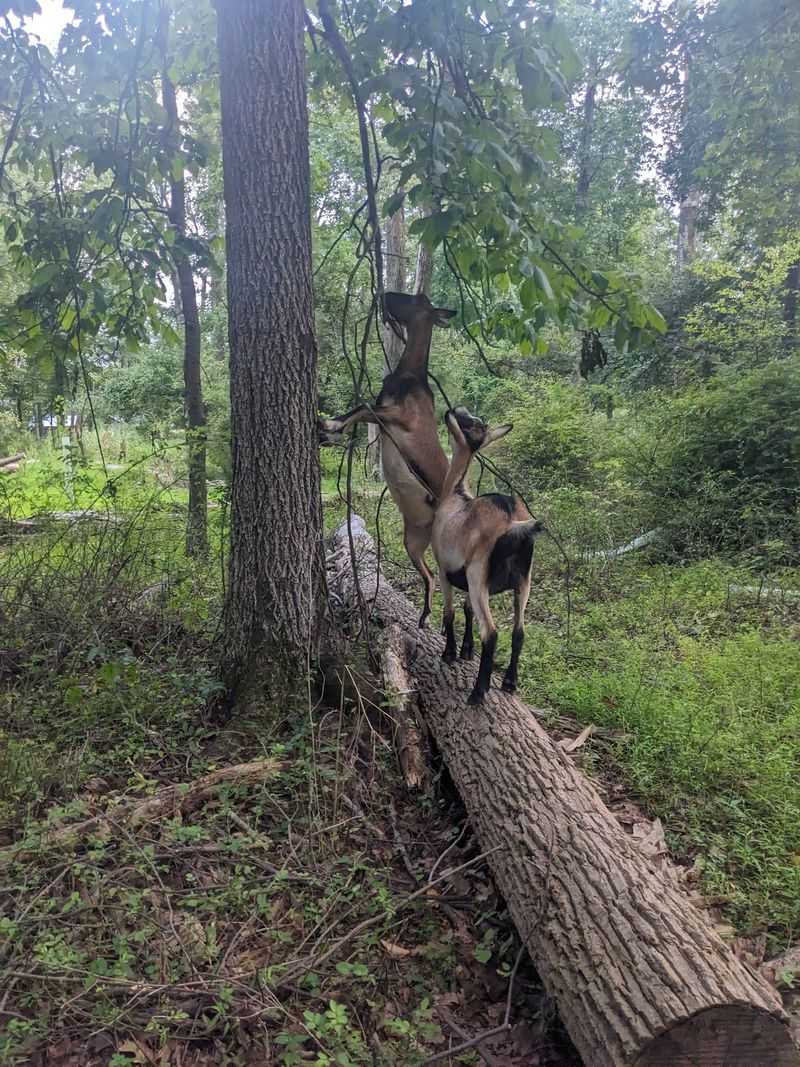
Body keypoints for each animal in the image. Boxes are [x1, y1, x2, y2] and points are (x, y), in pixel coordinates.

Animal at [320, 291, 456, 628]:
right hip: (413, 540)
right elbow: (363, 408)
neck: (410, 375)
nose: (384, 295)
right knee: (431, 576)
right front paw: (328, 433)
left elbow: (362, 406)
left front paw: (328, 426)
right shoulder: (385, 416)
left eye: (416, 299)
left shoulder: (400, 418)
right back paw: (423, 617)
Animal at [432, 406, 544, 705]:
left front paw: (450, 653)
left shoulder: (444, 569)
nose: (453, 410)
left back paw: (478, 692)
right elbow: (467, 608)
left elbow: (449, 613)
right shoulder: (471, 581)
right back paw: (509, 682)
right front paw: (466, 650)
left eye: (469, 423)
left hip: (478, 572)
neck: (455, 492)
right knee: (519, 631)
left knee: (492, 633)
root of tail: (513, 522)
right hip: (524, 580)